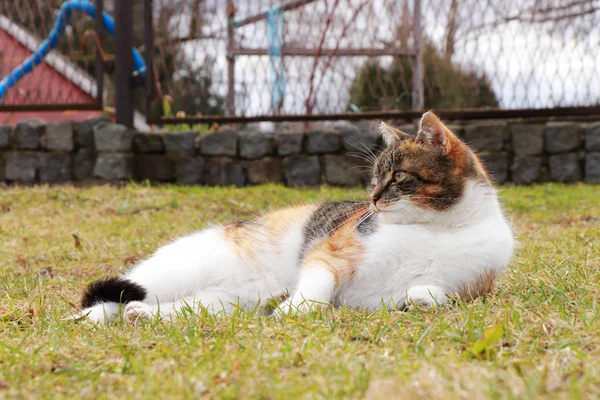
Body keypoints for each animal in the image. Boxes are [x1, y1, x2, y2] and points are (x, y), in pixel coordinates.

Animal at [77, 111, 512, 324]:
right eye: (376, 177)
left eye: (399, 176)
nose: (372, 199)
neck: (435, 228)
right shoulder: (331, 251)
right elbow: (317, 285)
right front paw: (296, 310)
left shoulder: (471, 288)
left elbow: (432, 294)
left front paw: (417, 298)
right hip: (181, 269)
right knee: (115, 292)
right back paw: (91, 319)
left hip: (226, 301)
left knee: (175, 307)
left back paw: (141, 315)